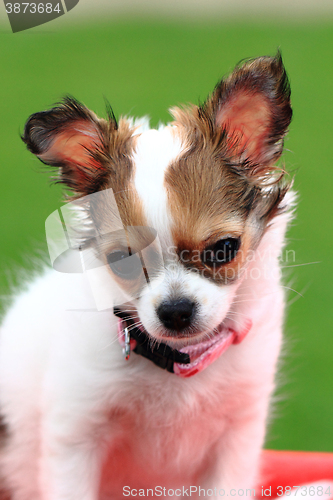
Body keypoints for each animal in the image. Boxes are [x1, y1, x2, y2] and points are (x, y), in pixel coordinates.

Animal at [0, 52, 290, 498]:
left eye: (224, 249)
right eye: (122, 260)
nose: (175, 311)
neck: (179, 361)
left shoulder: (238, 435)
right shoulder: (75, 435)